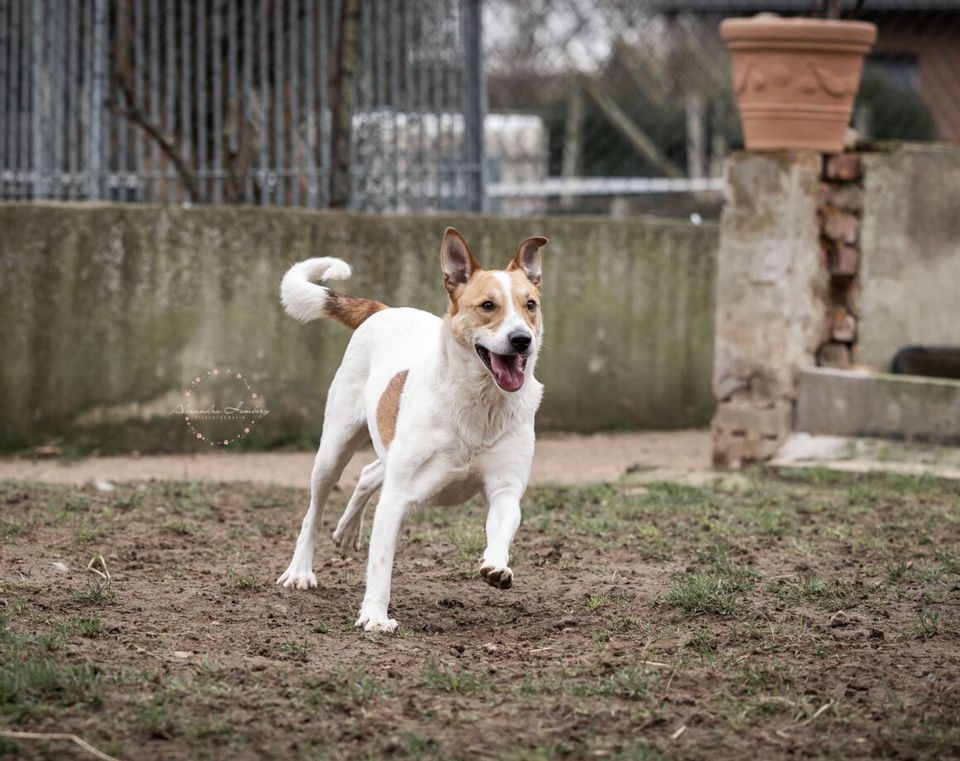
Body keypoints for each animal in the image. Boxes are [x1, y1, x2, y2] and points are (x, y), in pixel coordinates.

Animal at [278, 229, 548, 632]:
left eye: (530, 304)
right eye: (488, 306)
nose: (521, 340)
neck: (478, 402)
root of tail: (384, 309)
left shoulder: (505, 487)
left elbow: (503, 526)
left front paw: (496, 566)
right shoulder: (397, 496)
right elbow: (381, 561)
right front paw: (375, 616)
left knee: (369, 472)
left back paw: (347, 531)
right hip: (334, 449)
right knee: (316, 508)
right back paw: (300, 571)